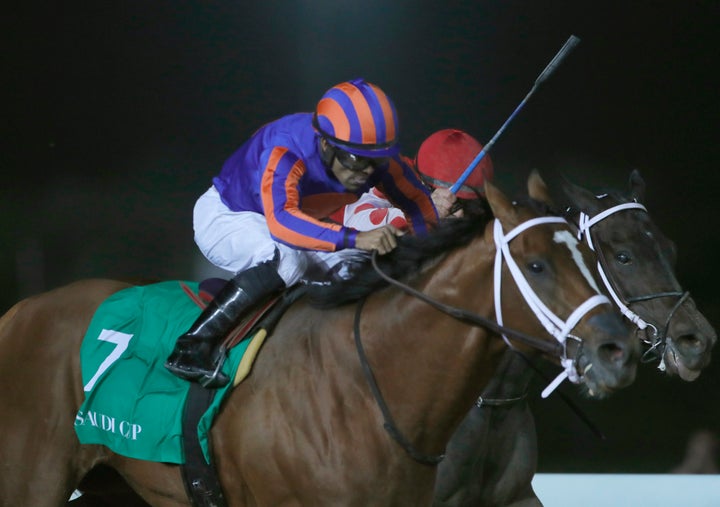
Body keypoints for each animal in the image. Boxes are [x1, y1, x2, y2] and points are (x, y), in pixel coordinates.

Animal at [1, 175, 640, 507]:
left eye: (592, 257)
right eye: (535, 265)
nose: (619, 351)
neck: (367, 389)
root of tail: (20, 311)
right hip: (30, 482)